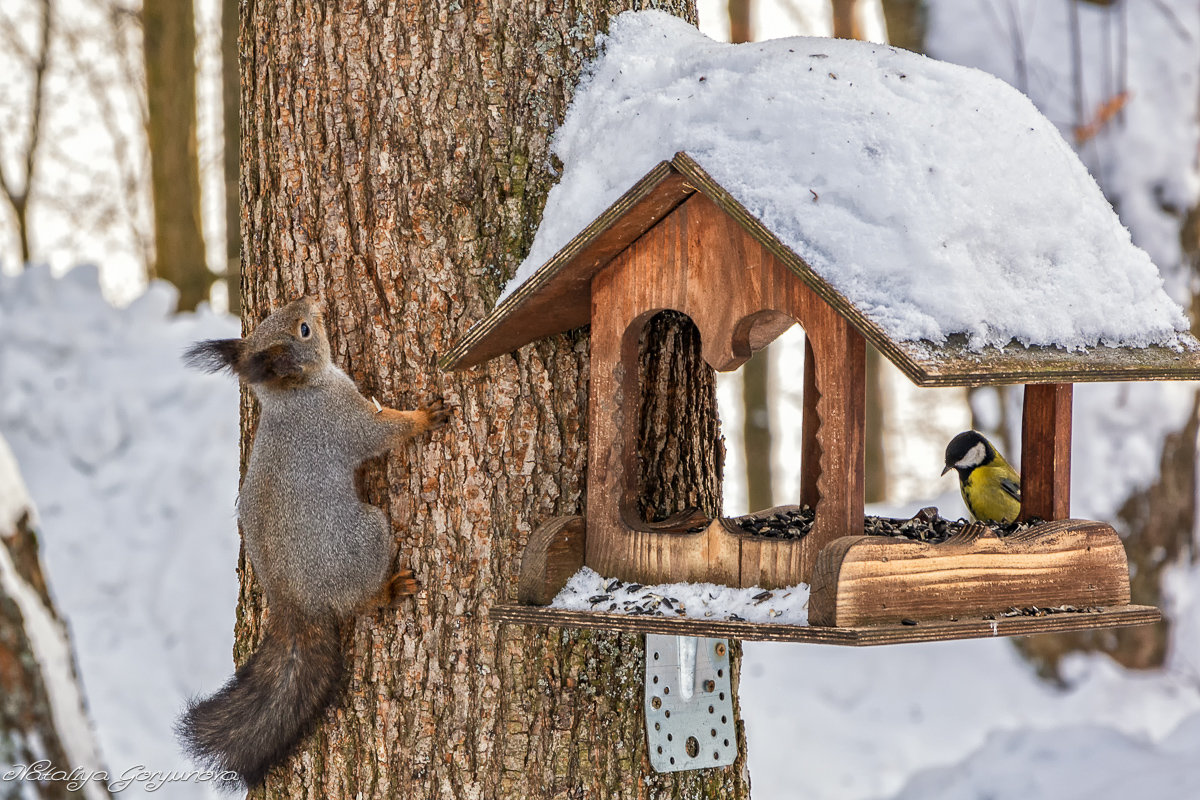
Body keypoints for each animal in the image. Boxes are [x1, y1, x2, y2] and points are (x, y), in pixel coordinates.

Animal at [172, 296, 446, 786]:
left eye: (288, 318)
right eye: (304, 330)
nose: (311, 300)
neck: (294, 396)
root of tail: (296, 606)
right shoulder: (343, 418)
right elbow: (383, 431)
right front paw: (423, 417)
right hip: (367, 537)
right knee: (361, 602)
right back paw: (389, 590)